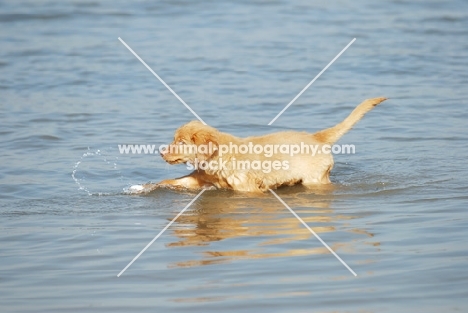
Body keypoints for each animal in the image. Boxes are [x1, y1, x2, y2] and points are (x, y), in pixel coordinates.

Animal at [133, 97, 388, 193]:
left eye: (181, 142)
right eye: (174, 140)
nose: (161, 153)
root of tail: (316, 137)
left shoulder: (248, 190)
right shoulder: (200, 179)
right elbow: (173, 181)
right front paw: (144, 186)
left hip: (315, 179)